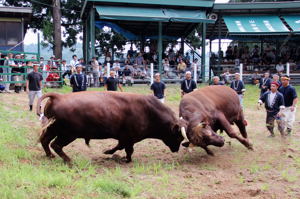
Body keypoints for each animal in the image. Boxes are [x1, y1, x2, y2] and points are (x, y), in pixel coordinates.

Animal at [36, 91, 186, 163]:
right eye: (178, 137)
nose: (176, 149)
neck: (149, 111)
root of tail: (58, 97)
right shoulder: (128, 138)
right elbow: (126, 149)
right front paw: (121, 157)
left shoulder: (126, 138)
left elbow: (122, 147)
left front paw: (111, 153)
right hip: (68, 134)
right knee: (56, 145)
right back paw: (68, 160)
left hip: (54, 130)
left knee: (45, 140)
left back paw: (50, 156)